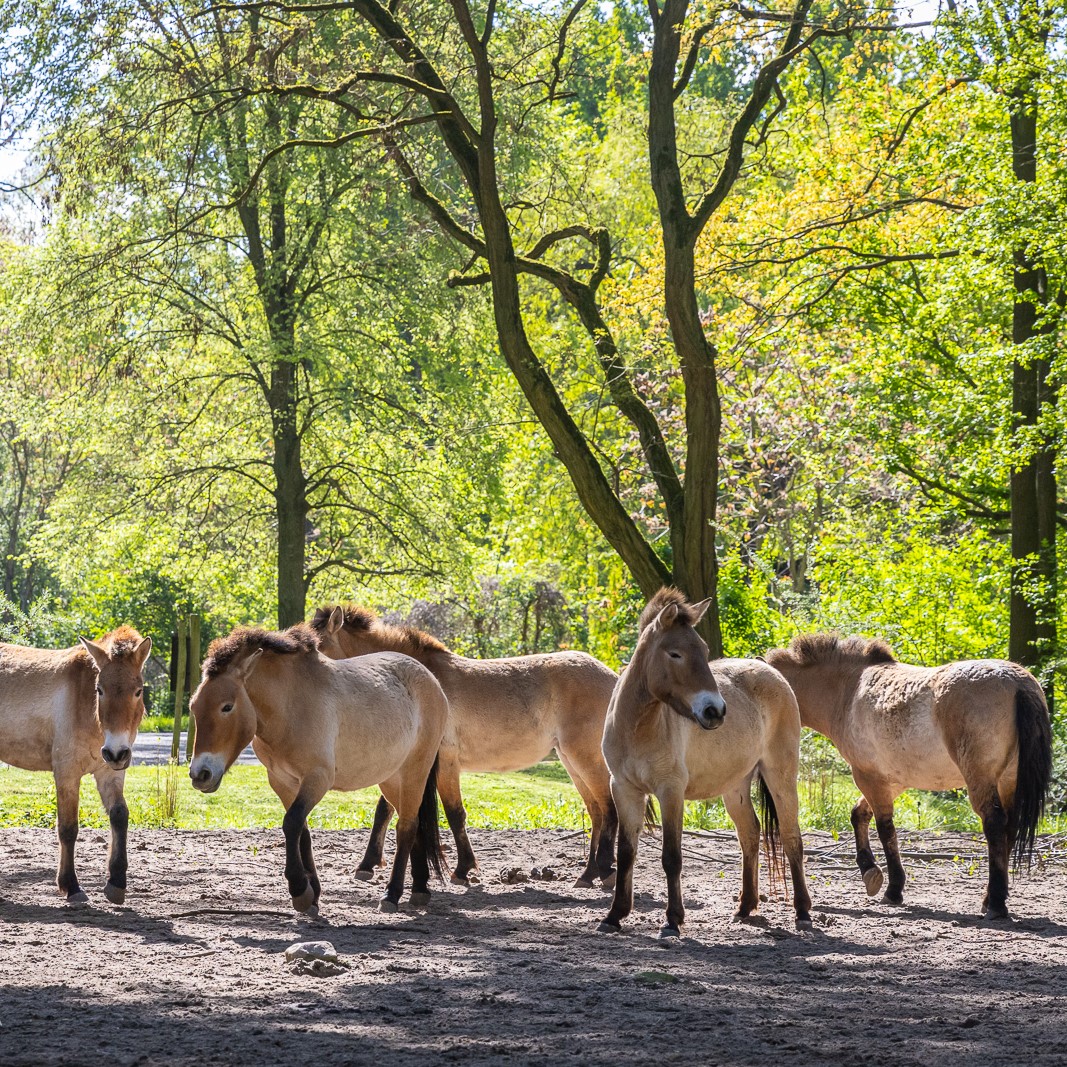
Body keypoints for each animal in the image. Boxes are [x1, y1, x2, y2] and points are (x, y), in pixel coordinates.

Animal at [0, 627, 152, 904]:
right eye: (100, 690)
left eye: (138, 691)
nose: (116, 752)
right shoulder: (67, 773)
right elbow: (68, 828)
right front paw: (71, 885)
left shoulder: (110, 772)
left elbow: (119, 815)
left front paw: (116, 882)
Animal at [187, 623, 446, 917]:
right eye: (194, 707)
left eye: (227, 706)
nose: (200, 774)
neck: (290, 705)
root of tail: (432, 681)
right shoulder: (283, 782)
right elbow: (302, 831)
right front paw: (313, 895)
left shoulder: (317, 778)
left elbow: (291, 823)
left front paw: (299, 890)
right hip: (391, 779)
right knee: (413, 823)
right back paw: (420, 889)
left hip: (415, 771)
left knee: (407, 826)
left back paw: (392, 894)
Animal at [309, 606, 623, 887]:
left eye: (319, 645)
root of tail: (613, 678)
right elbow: (385, 810)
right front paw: (367, 865)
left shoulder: (444, 762)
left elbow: (454, 813)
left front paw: (463, 870)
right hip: (572, 761)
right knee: (596, 811)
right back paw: (588, 875)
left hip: (585, 758)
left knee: (608, 808)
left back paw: (606, 871)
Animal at [597, 588, 810, 938]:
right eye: (675, 654)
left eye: (704, 650)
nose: (715, 711)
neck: (639, 726)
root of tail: (773, 673)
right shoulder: (624, 789)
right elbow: (626, 853)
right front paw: (614, 915)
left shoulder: (670, 792)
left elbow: (671, 857)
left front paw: (672, 920)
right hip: (735, 787)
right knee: (750, 834)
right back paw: (745, 906)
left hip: (781, 777)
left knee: (792, 838)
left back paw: (803, 912)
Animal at [768, 627, 1049, 921]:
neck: (848, 689)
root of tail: (1017, 684)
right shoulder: (892, 780)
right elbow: (859, 815)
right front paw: (869, 870)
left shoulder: (868, 776)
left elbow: (885, 829)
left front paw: (893, 889)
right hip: (1008, 781)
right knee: (1009, 829)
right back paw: (990, 898)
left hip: (981, 780)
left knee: (994, 825)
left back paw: (995, 903)